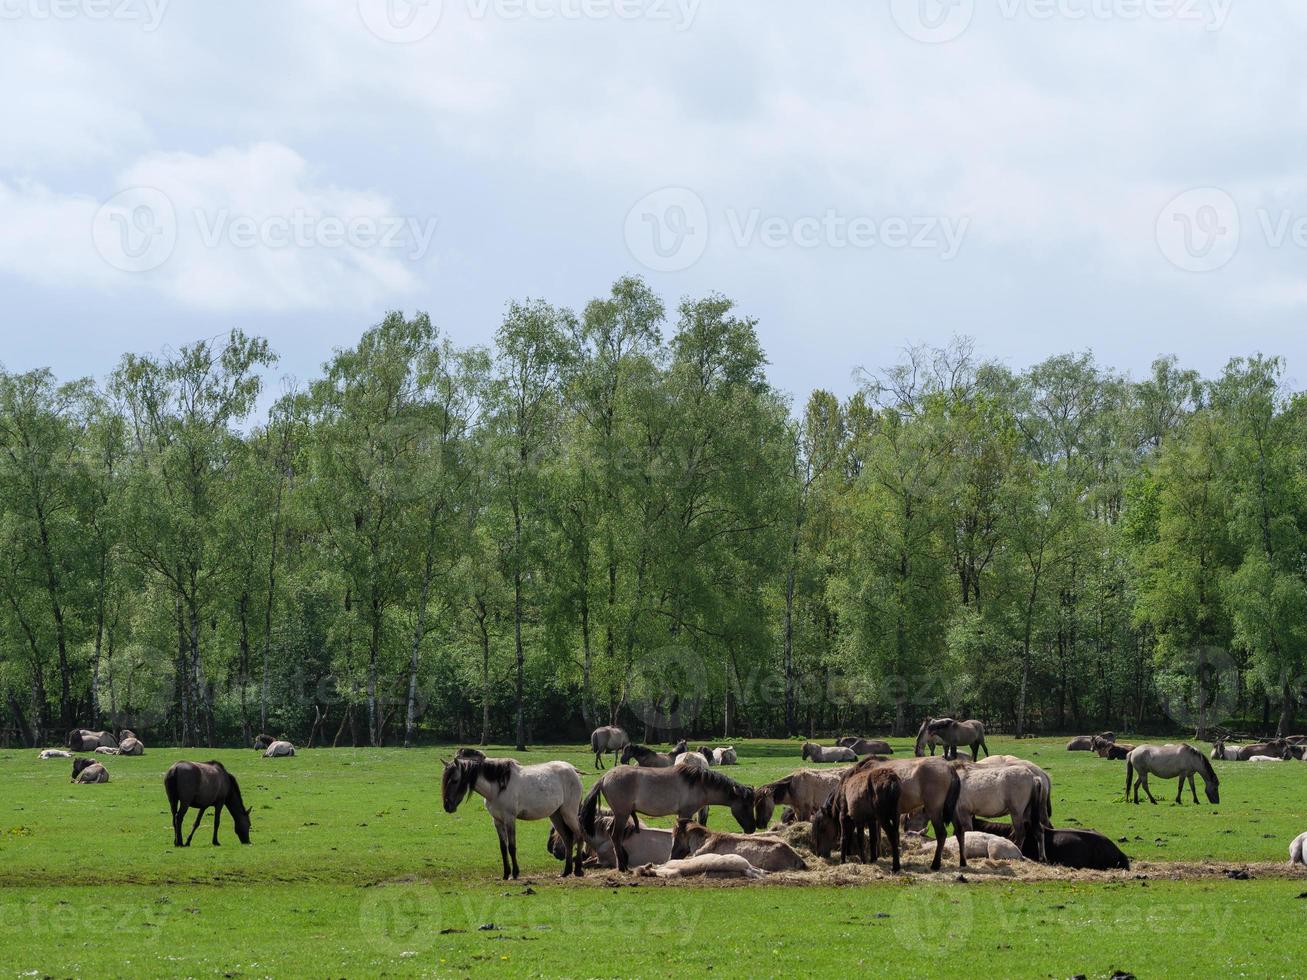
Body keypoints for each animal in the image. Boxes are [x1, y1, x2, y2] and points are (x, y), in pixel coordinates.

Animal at [441, 757, 585, 883]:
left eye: (454, 780)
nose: (447, 806)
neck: (497, 788)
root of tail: (573, 770)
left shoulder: (509, 819)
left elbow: (511, 846)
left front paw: (515, 873)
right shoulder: (497, 821)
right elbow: (503, 848)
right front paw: (506, 874)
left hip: (569, 813)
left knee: (579, 835)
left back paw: (578, 870)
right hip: (556, 815)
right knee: (567, 839)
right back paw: (566, 871)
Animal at [582, 763, 758, 872]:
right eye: (745, 805)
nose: (752, 828)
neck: (698, 784)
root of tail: (604, 778)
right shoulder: (685, 812)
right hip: (622, 814)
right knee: (615, 835)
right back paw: (622, 866)